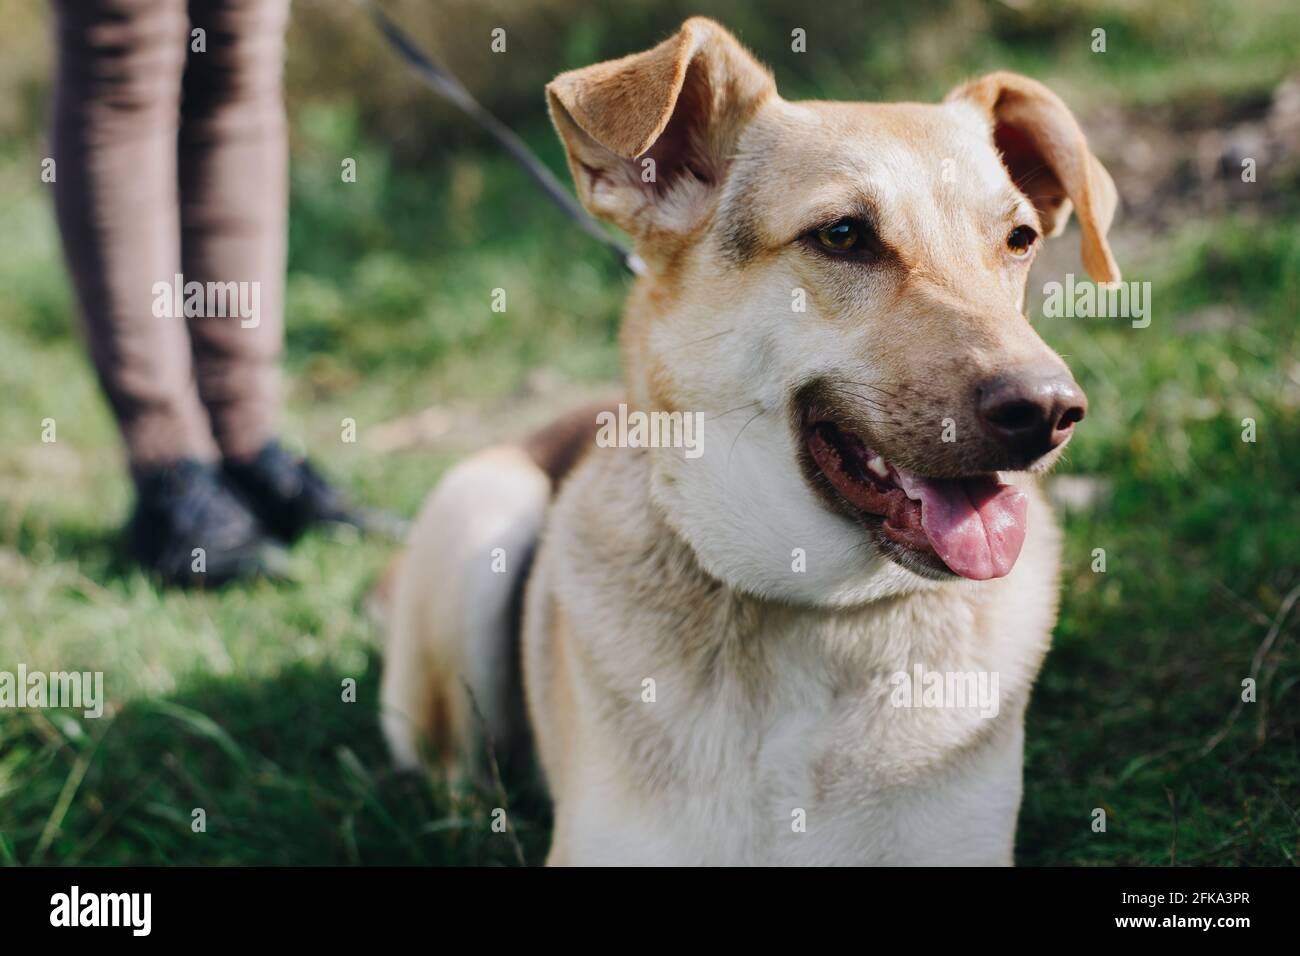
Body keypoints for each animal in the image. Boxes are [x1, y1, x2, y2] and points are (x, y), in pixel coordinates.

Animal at [377, 14, 1118, 868]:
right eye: (843, 235)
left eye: (1020, 239)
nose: (1051, 410)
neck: (814, 609)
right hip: (482, 512)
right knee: (455, 776)